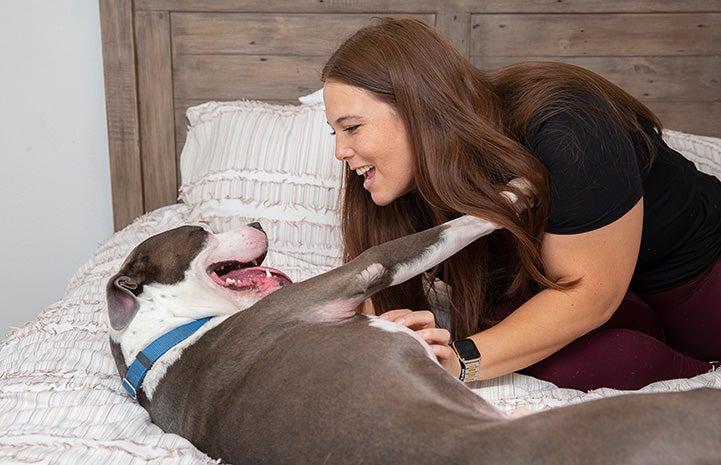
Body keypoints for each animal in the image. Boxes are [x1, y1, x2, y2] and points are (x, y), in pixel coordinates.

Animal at [107, 214, 720, 464]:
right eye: (200, 231)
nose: (258, 219)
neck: (170, 337)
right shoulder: (358, 272)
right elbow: (450, 228)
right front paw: (513, 191)